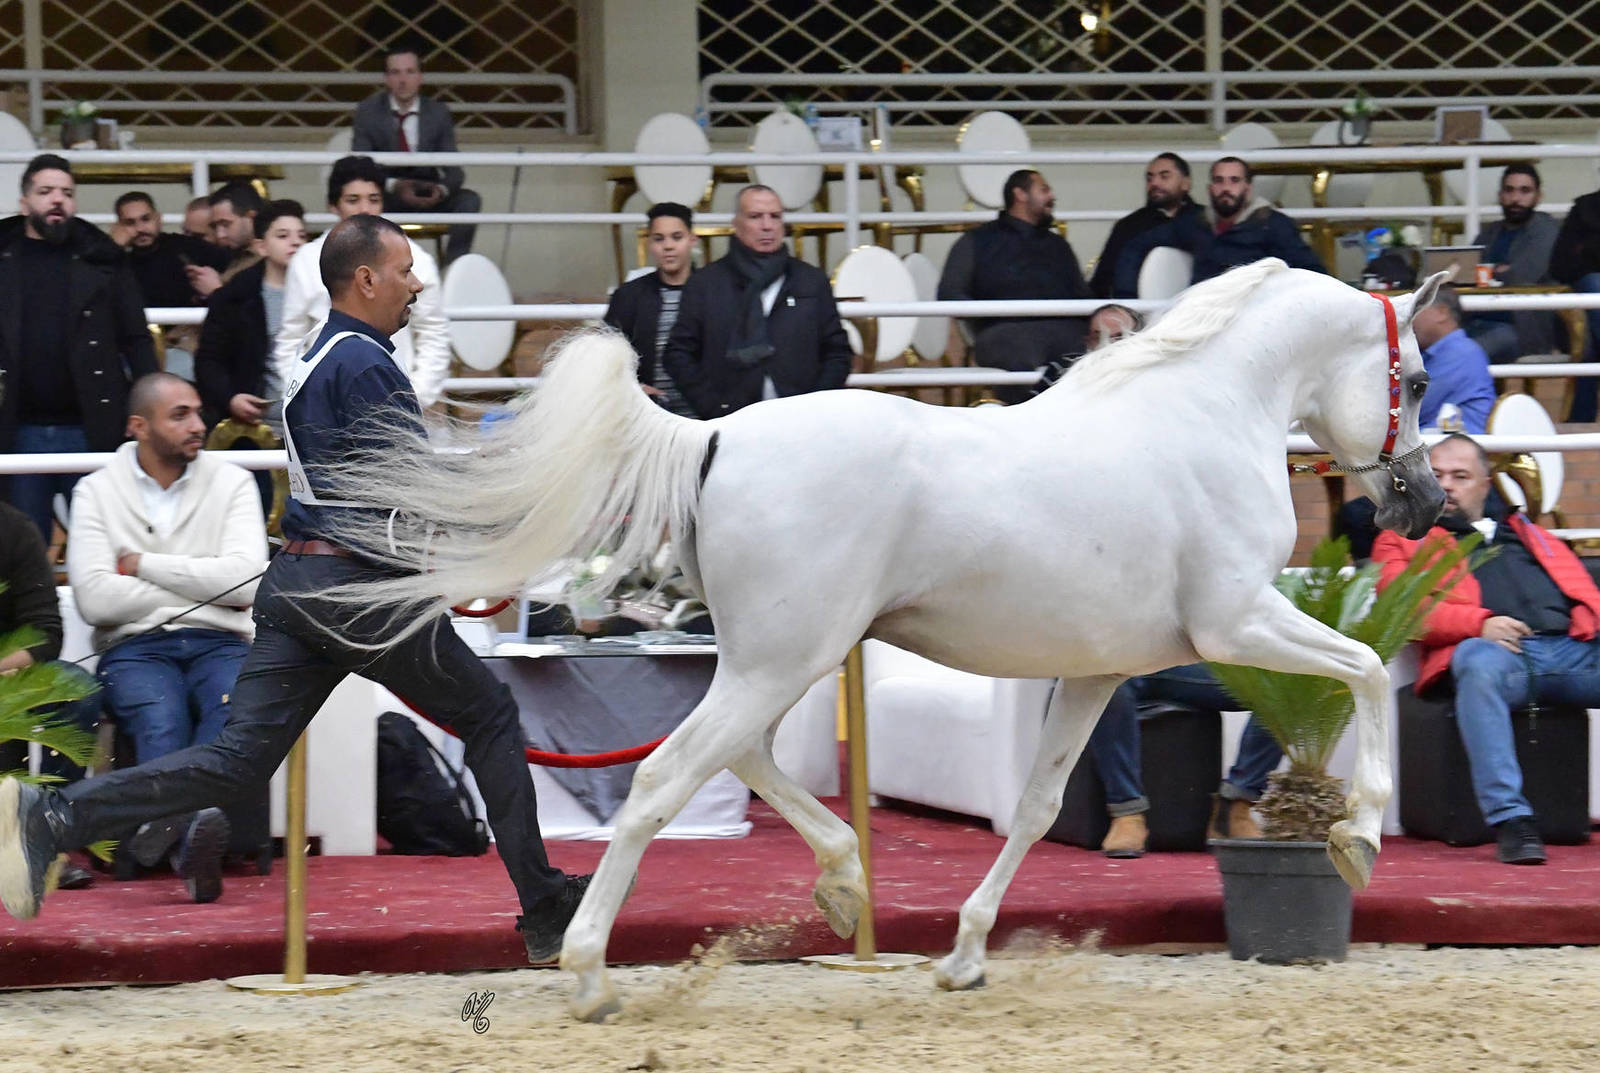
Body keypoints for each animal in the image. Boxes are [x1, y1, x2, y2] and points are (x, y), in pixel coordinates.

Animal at [321, 259, 1447, 1021]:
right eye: (1420, 377)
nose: (1426, 500)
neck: (1205, 415)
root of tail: (715, 434)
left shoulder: (1097, 671)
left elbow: (1037, 808)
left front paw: (963, 956)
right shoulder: (1237, 619)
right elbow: (1362, 671)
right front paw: (1356, 836)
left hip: (775, 657)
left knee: (740, 755)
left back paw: (841, 880)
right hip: (786, 656)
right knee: (666, 775)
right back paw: (592, 969)